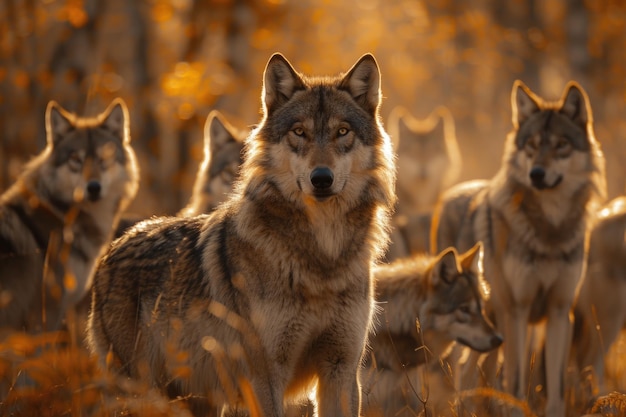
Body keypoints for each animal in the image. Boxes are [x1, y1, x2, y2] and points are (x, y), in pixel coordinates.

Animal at [86, 52, 394, 416]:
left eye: (342, 131)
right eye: (299, 132)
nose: (321, 178)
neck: (322, 257)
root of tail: (113, 247)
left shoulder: (341, 371)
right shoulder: (265, 378)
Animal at [428, 79, 604, 414]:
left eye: (561, 144)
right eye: (531, 145)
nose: (536, 174)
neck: (549, 230)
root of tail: (449, 193)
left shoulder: (559, 312)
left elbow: (556, 389)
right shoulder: (517, 311)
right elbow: (518, 382)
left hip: (497, 330)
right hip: (482, 324)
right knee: (465, 369)